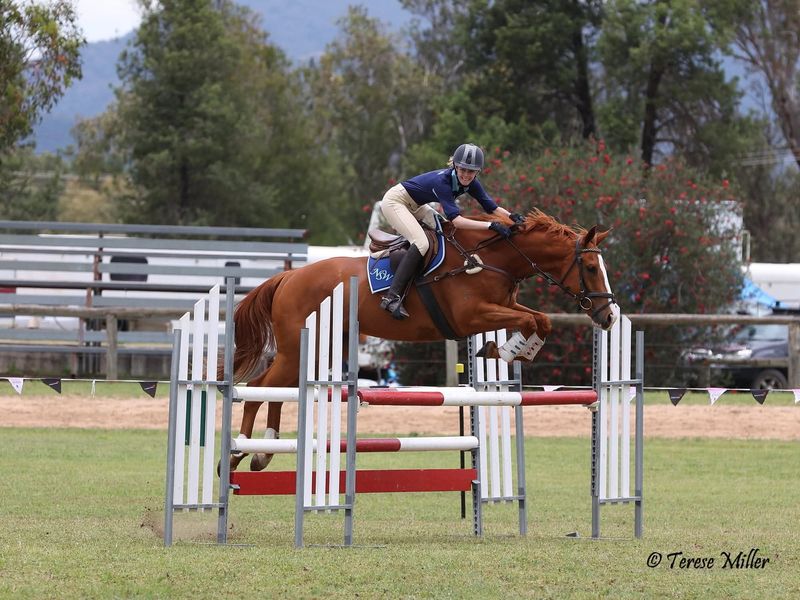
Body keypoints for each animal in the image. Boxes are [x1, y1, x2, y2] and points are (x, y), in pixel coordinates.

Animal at [228, 209, 619, 471]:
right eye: (590, 268)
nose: (610, 316)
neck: (490, 258)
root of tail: (288, 278)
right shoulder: (472, 316)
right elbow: (530, 320)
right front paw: (506, 350)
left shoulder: (502, 307)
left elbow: (541, 320)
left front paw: (511, 350)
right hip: (297, 347)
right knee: (259, 388)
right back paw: (238, 453)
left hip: (318, 349)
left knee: (279, 390)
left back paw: (263, 452)